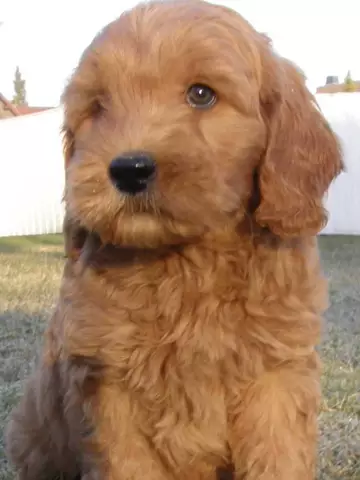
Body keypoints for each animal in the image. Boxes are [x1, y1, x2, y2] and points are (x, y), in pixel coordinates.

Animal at [6, 0, 344, 480]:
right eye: (99, 107)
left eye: (201, 94)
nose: (128, 169)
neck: (187, 263)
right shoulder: (111, 388)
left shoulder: (276, 379)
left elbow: (278, 458)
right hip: (34, 428)